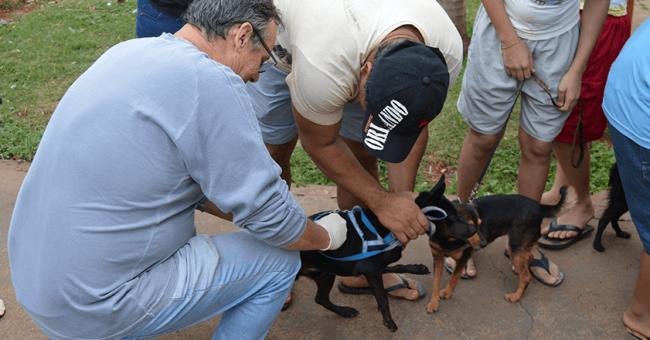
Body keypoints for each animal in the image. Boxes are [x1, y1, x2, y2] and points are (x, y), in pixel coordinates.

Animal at [296, 181, 478, 332]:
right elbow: (389, 281)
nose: (474, 231)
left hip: (325, 274)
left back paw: (344, 311)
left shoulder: (372, 271)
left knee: (320, 299)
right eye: (453, 217)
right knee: (320, 299)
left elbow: (388, 282)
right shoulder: (367, 268)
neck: (387, 228)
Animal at [428, 178, 576, 314]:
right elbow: (435, 283)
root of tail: (539, 206)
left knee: (526, 277)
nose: (484, 244)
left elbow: (453, 278)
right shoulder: (437, 258)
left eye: (479, 225)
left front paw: (447, 292)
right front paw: (433, 303)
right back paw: (519, 270)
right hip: (518, 247)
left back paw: (516, 296)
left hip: (514, 247)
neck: (447, 238)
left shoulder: (462, 260)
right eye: (470, 228)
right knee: (529, 257)